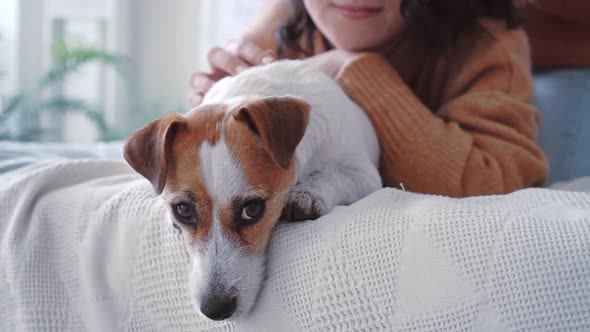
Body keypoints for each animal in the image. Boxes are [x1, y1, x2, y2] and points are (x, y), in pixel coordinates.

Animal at [125, 60, 384, 322]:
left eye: (252, 210)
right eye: (183, 211)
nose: (215, 310)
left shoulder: (364, 174)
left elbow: (332, 174)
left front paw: (307, 194)